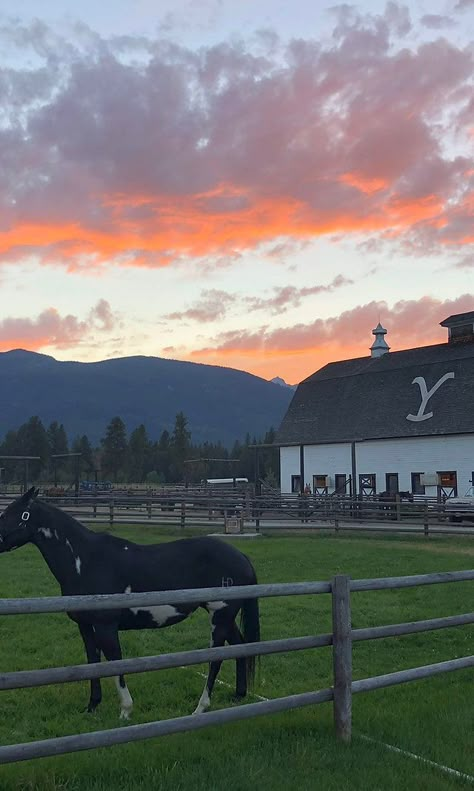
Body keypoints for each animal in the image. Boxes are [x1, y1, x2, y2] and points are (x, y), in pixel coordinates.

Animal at [0, 486, 262, 720]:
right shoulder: (85, 626)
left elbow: (115, 663)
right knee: (240, 646)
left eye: (10, 514)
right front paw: (92, 706)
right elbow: (93, 662)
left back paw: (200, 708)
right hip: (225, 617)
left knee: (216, 658)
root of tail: (242, 557)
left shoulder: (106, 626)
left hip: (219, 617)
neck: (85, 560)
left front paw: (125, 710)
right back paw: (238, 695)